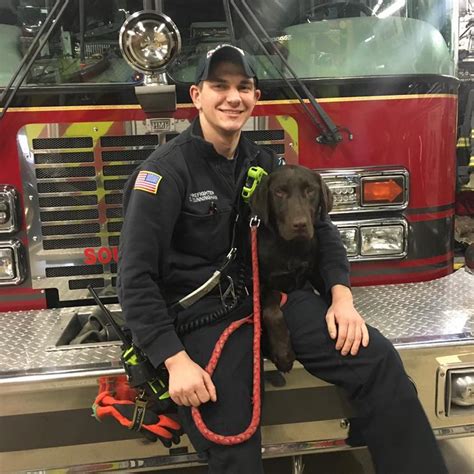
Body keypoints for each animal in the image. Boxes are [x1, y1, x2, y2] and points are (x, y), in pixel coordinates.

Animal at [249, 164, 333, 372]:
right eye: (279, 192)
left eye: (310, 190)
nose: (300, 224)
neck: (291, 248)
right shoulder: (262, 282)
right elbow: (272, 312)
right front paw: (283, 353)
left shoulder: (314, 271)